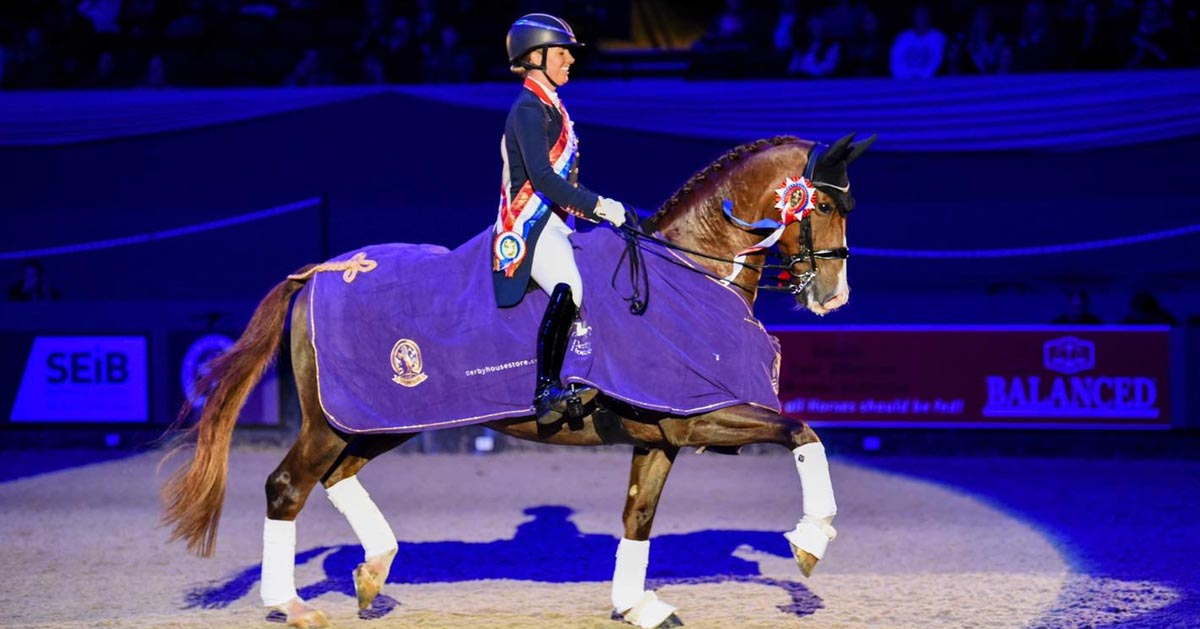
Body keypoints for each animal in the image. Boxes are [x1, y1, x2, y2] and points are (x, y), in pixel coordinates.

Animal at [162, 132, 873, 629]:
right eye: (823, 204)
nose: (833, 295)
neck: (690, 275)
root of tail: (320, 272)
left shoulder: (662, 433)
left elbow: (638, 515)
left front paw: (635, 605)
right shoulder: (706, 413)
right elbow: (802, 433)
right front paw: (810, 541)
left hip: (377, 419)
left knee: (336, 477)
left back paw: (373, 571)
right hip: (334, 420)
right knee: (287, 487)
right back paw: (292, 604)